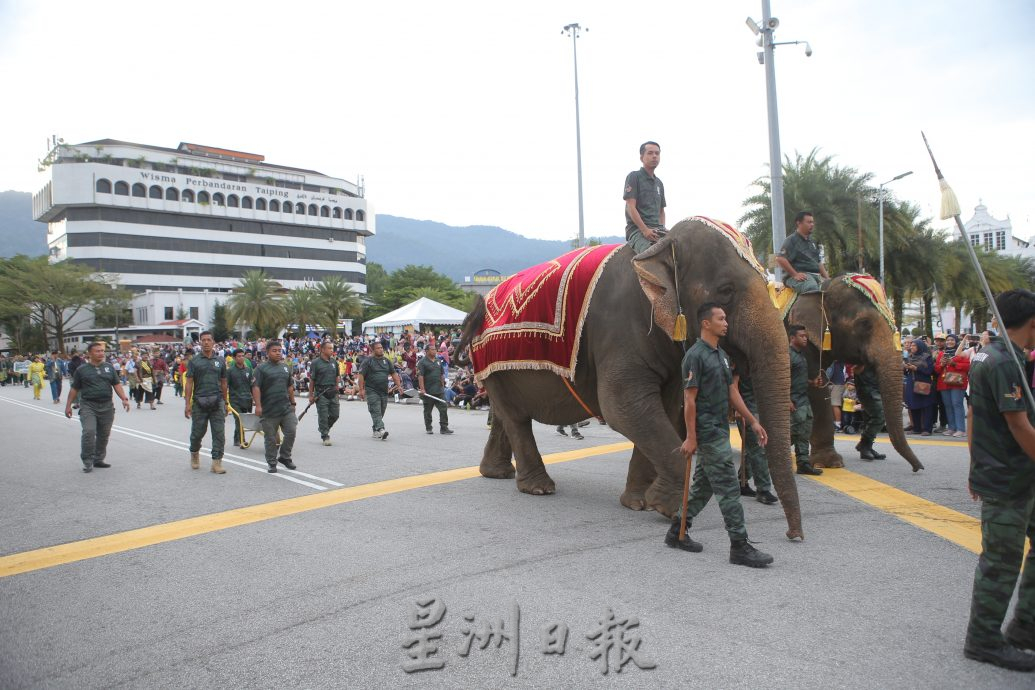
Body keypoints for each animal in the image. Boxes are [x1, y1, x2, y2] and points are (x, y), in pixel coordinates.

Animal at [461, 218, 807, 542]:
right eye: (726, 290)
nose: (794, 535)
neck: (657, 251)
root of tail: (479, 305)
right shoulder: (619, 329)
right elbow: (621, 406)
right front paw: (667, 508)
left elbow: (666, 408)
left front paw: (639, 503)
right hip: (490, 360)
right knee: (516, 418)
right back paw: (539, 488)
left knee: (505, 414)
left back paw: (497, 474)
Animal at [786, 279, 927, 469]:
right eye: (864, 323)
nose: (918, 468)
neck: (823, 289)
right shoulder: (805, 344)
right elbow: (816, 389)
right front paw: (831, 463)